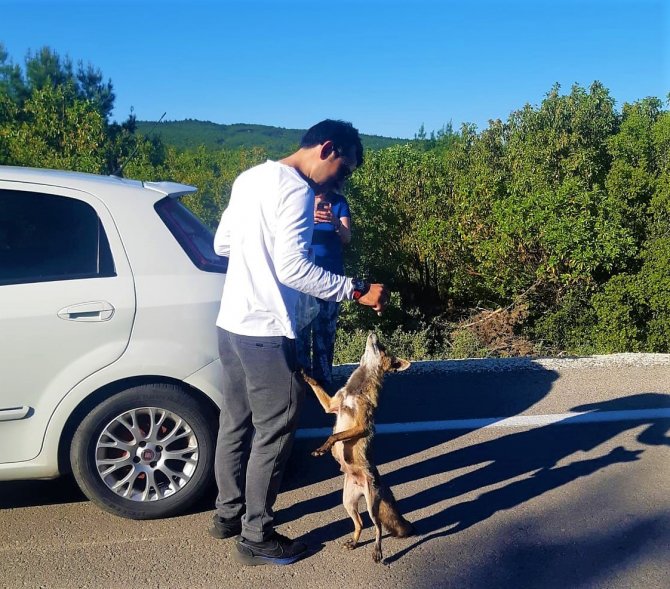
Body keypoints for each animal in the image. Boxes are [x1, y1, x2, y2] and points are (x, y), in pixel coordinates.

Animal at [304, 330, 414, 560]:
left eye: (382, 347)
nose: (374, 332)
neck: (354, 391)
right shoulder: (331, 406)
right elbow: (316, 385)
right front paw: (304, 374)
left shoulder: (362, 426)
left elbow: (335, 437)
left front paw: (323, 449)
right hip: (347, 503)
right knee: (361, 524)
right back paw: (354, 543)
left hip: (371, 506)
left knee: (378, 527)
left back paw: (377, 551)